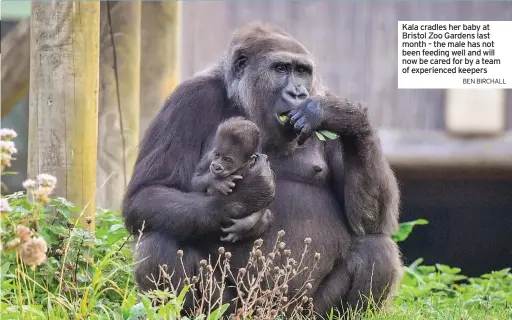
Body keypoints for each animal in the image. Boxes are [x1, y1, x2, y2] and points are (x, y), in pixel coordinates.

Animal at [122, 21, 402, 316]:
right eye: (281, 69)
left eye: (302, 71)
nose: (298, 93)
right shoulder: (187, 99)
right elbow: (148, 193)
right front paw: (244, 198)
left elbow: (369, 221)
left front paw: (345, 117)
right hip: (234, 311)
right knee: (160, 240)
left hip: (307, 313)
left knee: (377, 247)